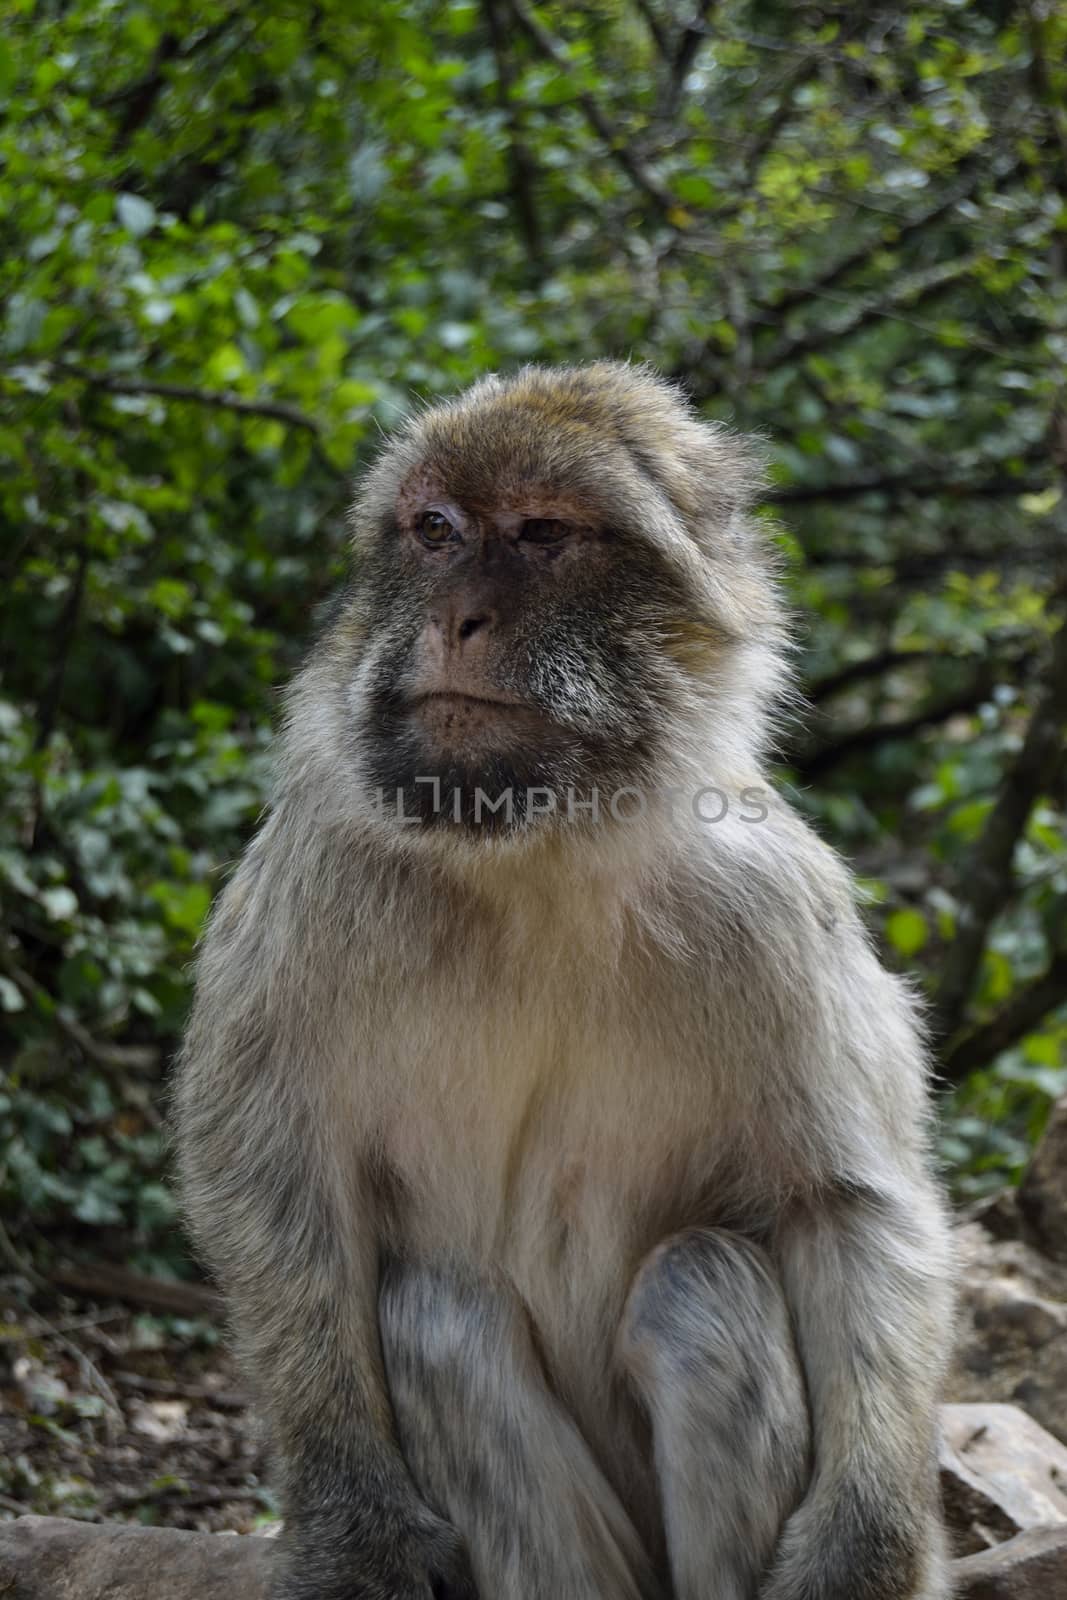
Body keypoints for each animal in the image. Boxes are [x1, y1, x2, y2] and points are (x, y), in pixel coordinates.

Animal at [173, 363, 953, 1600]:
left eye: (542, 534)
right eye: (434, 531)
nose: (454, 615)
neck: (535, 851)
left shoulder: (776, 911)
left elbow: (845, 1208)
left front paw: (862, 1546)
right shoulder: (311, 884)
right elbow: (272, 1179)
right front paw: (356, 1532)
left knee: (702, 1284)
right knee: (436, 1311)